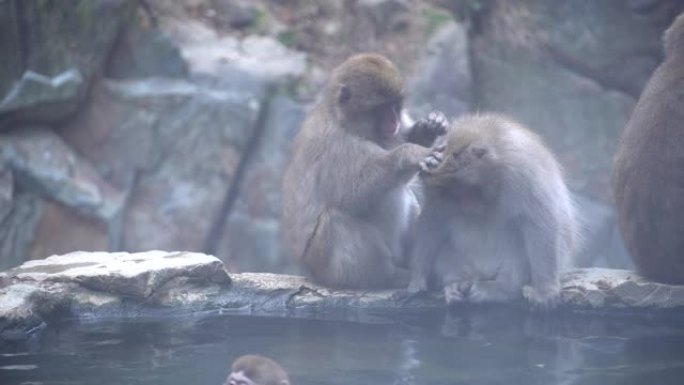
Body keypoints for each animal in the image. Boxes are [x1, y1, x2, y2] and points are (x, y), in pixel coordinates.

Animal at [280, 53, 446, 288]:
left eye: (395, 105)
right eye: (382, 108)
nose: (394, 120)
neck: (343, 121)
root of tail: (311, 273)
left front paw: (429, 127)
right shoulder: (334, 144)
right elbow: (353, 191)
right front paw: (408, 154)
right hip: (327, 265)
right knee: (337, 219)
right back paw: (386, 276)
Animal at [404, 114, 580, 308]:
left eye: (464, 187)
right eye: (453, 191)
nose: (465, 203)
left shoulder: (523, 173)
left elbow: (540, 222)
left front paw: (545, 290)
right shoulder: (437, 192)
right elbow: (433, 219)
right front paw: (417, 279)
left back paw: (503, 288)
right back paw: (457, 283)